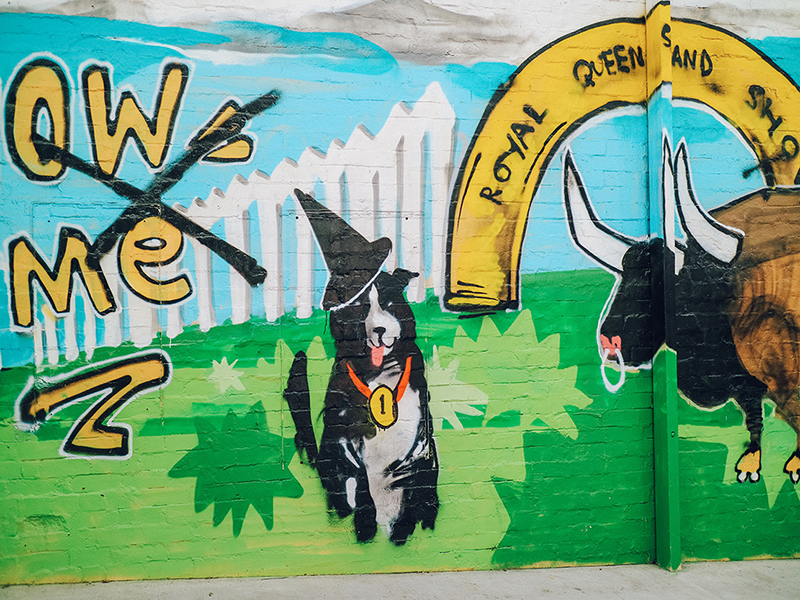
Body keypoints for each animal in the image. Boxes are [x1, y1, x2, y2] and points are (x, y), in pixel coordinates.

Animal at [284, 268, 439, 545]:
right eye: (359, 307)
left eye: (389, 303)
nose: (379, 329)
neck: (378, 373)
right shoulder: (341, 437)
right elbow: (359, 476)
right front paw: (365, 525)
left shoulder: (419, 442)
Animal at [563, 138, 800, 484]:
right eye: (625, 277)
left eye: (673, 283)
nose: (609, 341)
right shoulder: (748, 381)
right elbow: (755, 417)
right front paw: (750, 462)